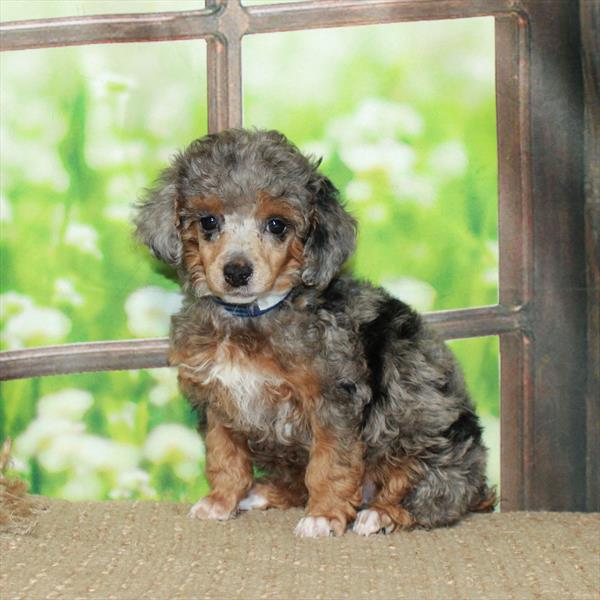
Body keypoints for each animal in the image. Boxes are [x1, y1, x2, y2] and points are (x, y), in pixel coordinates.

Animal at [136, 129, 496, 536]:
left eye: (277, 225)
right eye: (209, 221)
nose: (237, 272)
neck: (251, 316)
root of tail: (480, 487)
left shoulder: (332, 401)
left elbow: (330, 463)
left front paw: (323, 515)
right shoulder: (219, 400)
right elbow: (224, 456)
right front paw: (221, 501)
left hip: (418, 438)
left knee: (427, 494)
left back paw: (380, 514)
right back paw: (263, 493)